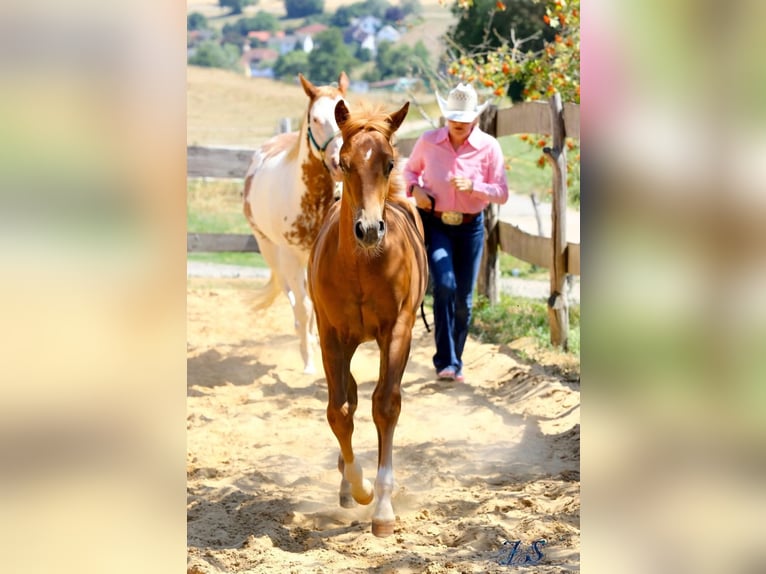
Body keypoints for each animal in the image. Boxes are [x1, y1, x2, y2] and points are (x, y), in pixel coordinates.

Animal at [243, 72, 349, 375]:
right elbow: (304, 305)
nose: (339, 163)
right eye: (315, 118)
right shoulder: (291, 257)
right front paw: (309, 361)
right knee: (290, 294)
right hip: (270, 249)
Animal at [307, 100, 428, 537]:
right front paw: (359, 489)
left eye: (389, 163)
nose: (369, 229)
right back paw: (346, 484)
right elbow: (339, 411)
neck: (361, 265)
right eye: (343, 163)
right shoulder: (330, 333)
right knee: (350, 396)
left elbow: (386, 405)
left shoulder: (398, 331)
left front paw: (383, 509)